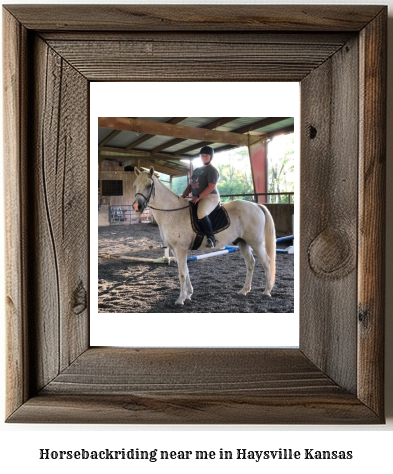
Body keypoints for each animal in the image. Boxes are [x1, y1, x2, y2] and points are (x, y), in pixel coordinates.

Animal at [133, 168, 274, 306]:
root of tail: (256, 205)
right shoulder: (174, 249)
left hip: (256, 243)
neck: (173, 212)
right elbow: (186, 271)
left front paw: (180, 299)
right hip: (243, 242)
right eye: (135, 185)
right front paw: (189, 294)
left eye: (149, 185)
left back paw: (267, 291)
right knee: (250, 263)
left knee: (267, 262)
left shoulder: (181, 249)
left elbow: (182, 273)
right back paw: (244, 290)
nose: (136, 206)